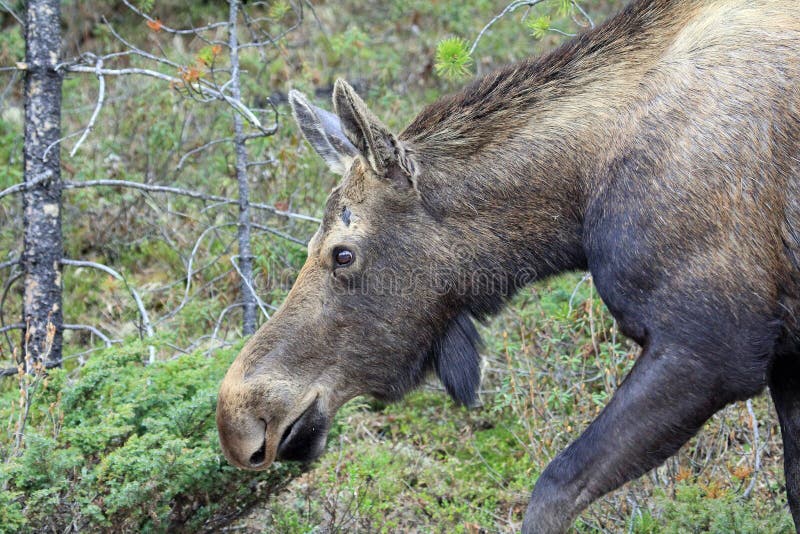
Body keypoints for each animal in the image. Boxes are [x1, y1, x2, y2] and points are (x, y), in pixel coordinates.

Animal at [216, 0, 796, 532]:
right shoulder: (783, 357)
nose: (238, 417)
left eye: (342, 253)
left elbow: (554, 487)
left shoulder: (710, 345)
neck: (577, 200)